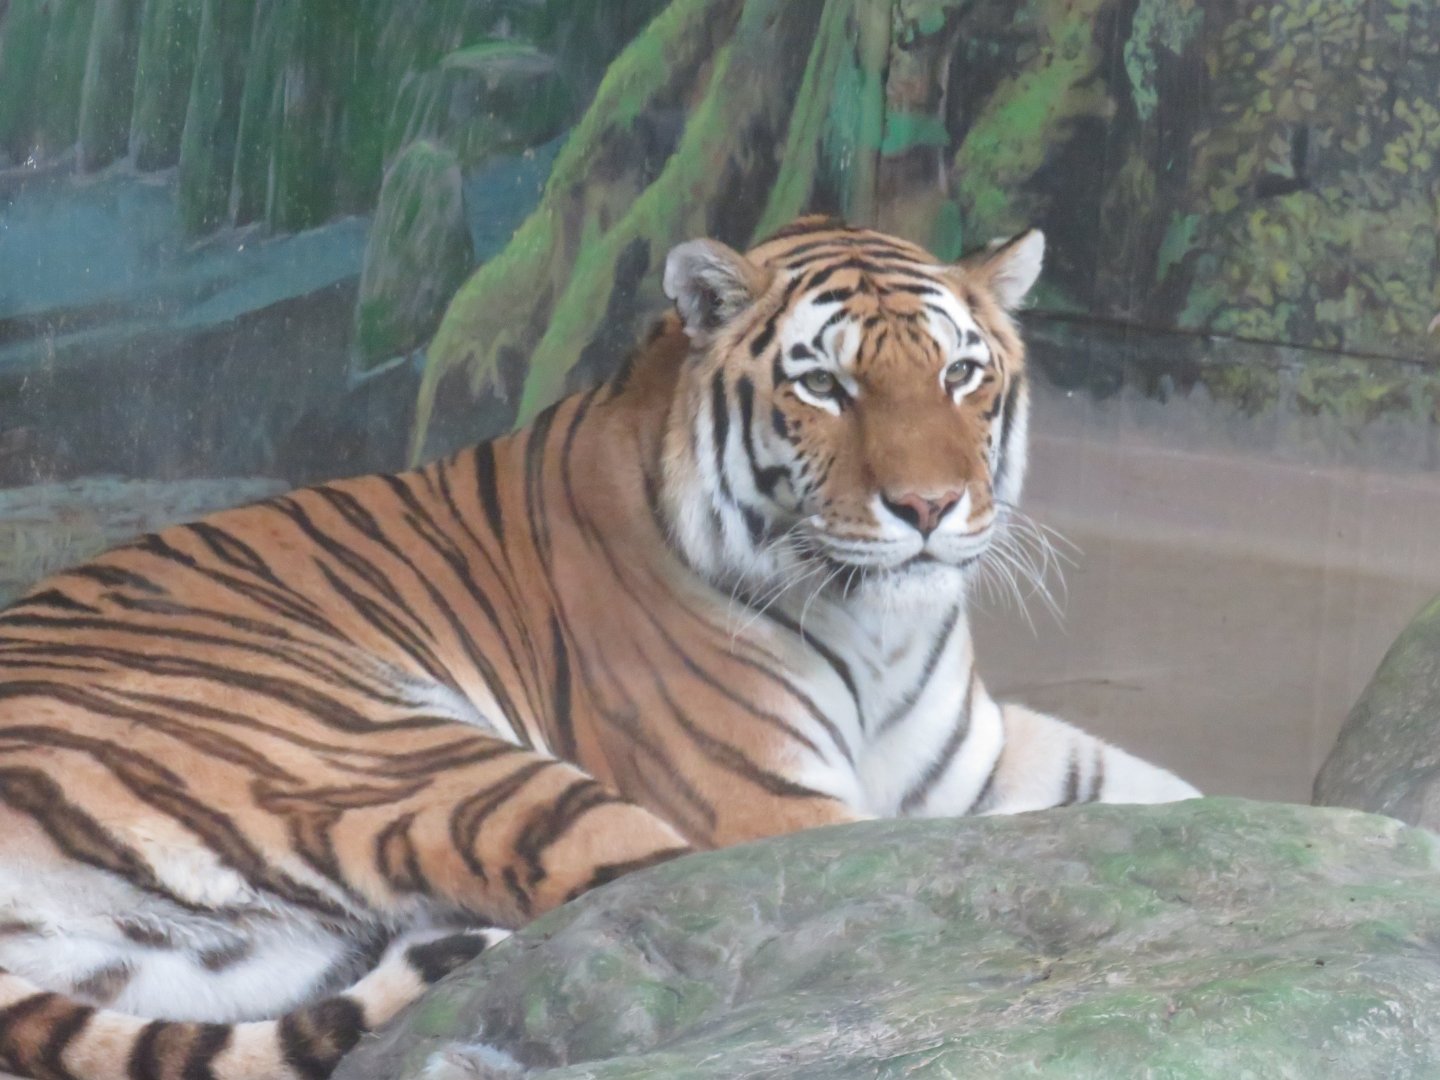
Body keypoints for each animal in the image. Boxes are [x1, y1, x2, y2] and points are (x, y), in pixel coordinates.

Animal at [0, 217, 1199, 1080]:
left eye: (959, 375)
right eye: (824, 384)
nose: (930, 507)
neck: (883, 626)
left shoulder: (978, 766)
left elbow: (1165, 800)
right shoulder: (773, 807)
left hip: (222, 962)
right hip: (423, 759)